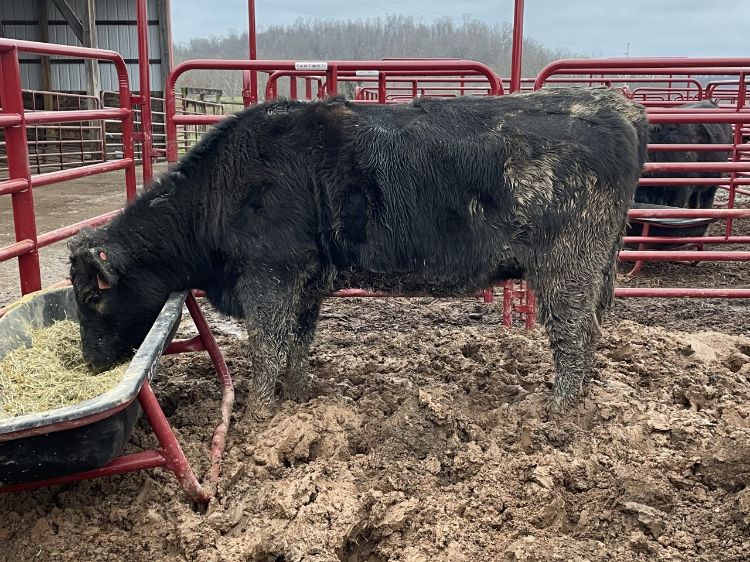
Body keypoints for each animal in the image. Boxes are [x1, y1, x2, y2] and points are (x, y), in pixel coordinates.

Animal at [67, 88, 648, 412]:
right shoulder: (303, 284)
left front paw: (258, 416)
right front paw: (298, 399)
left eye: (92, 297)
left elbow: (267, 350)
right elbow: (295, 346)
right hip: (592, 268)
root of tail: (614, 103)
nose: (91, 362)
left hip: (567, 265)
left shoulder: (268, 276)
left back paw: (557, 414)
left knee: (574, 337)